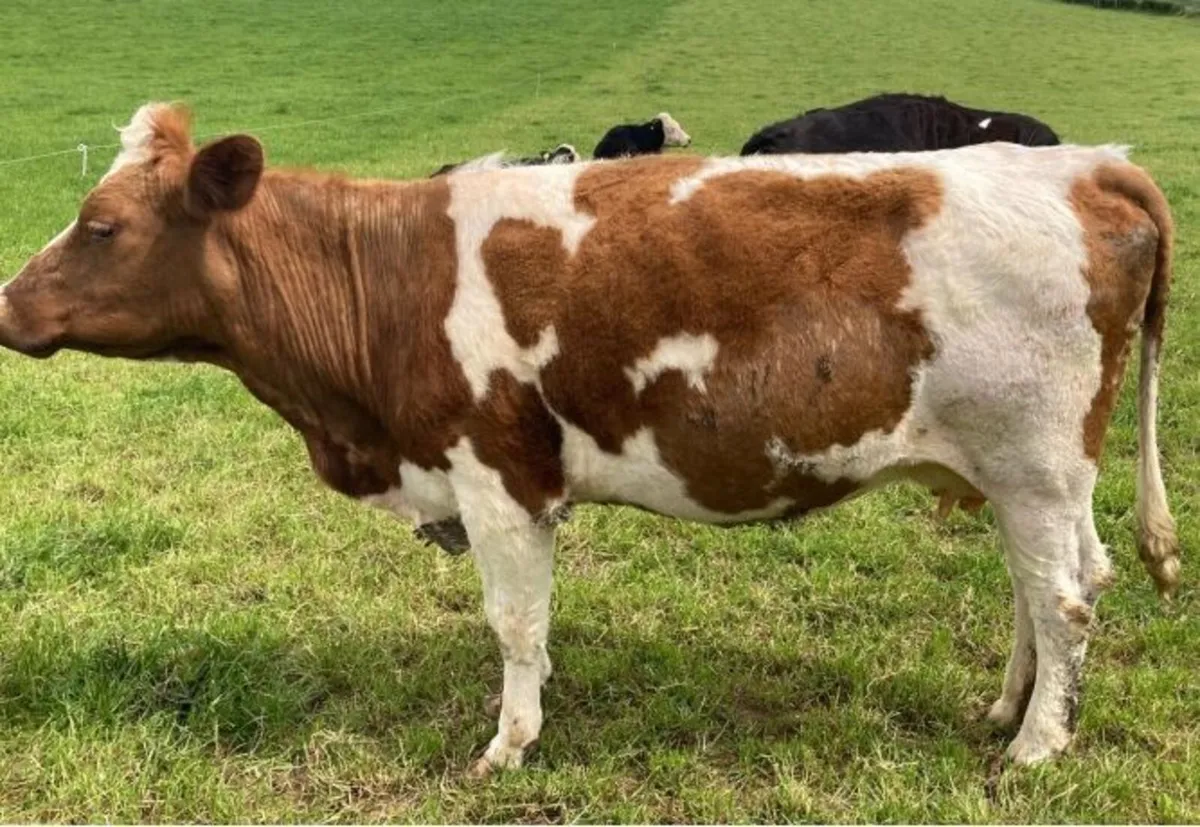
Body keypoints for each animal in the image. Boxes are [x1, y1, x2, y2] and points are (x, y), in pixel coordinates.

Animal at [0, 103, 1179, 776]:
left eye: (101, 226)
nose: (8, 301)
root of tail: (1089, 165)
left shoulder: (497, 474)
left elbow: (514, 623)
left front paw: (507, 745)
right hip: (1027, 475)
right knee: (1053, 588)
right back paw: (1008, 706)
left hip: (1034, 462)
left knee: (1065, 600)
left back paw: (1036, 747)